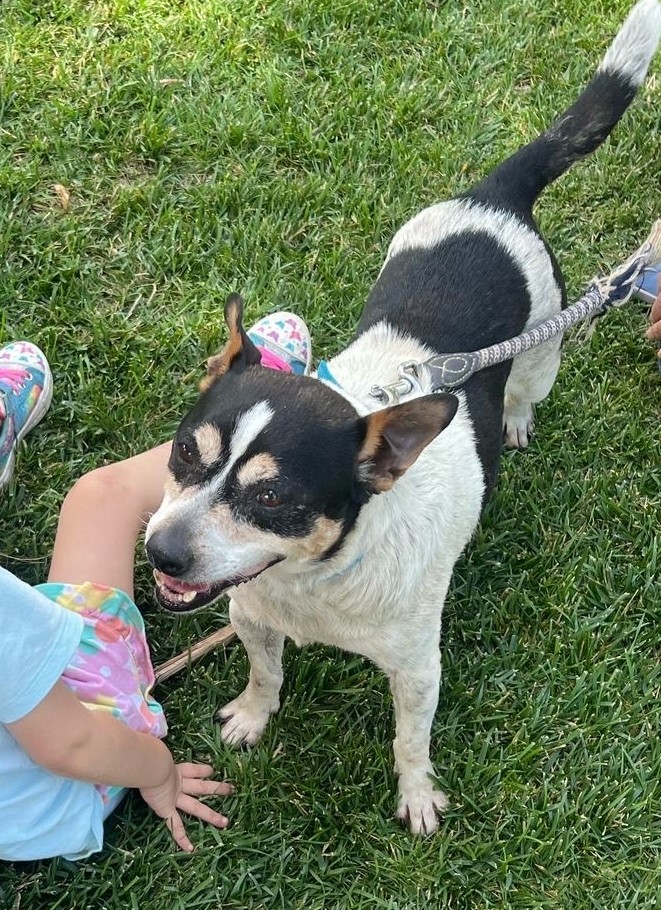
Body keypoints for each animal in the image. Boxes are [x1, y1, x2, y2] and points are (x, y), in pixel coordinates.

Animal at [146, 1, 660, 840]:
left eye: (273, 498)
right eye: (186, 453)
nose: (161, 551)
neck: (313, 584)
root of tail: (494, 195)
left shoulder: (418, 670)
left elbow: (409, 738)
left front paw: (417, 793)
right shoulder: (253, 617)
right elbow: (265, 673)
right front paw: (254, 716)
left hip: (545, 343)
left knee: (526, 389)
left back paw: (515, 421)